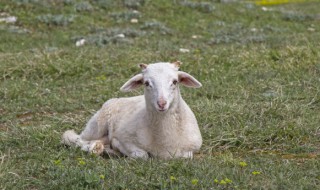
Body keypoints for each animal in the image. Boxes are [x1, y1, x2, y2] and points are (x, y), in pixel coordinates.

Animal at [62, 61, 202, 159]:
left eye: (175, 81)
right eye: (146, 83)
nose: (161, 103)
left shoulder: (192, 148)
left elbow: (186, 156)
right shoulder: (124, 138)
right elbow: (142, 155)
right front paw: (118, 149)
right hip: (96, 125)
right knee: (74, 138)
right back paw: (95, 148)